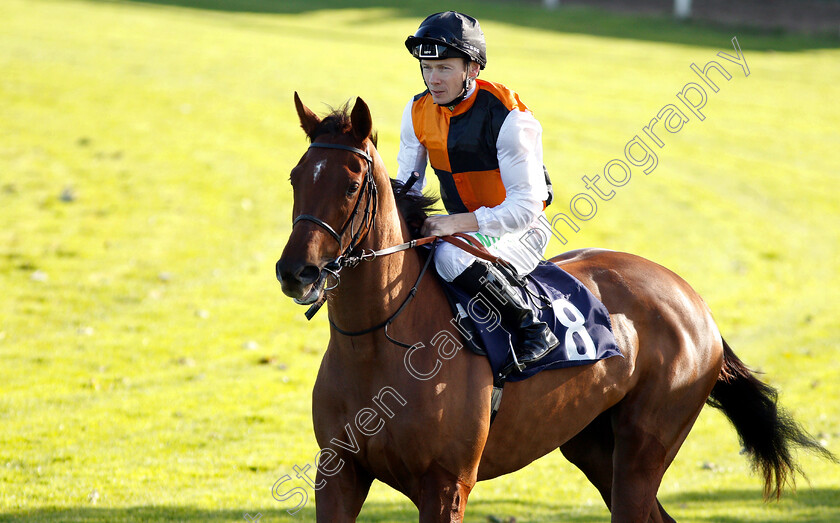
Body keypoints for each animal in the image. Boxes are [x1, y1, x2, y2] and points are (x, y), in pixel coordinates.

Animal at [276, 95, 832, 523]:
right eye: (295, 177)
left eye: (352, 183)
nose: (296, 272)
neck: (377, 343)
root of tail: (692, 299)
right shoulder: (339, 474)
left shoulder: (446, 485)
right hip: (593, 446)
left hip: (644, 448)